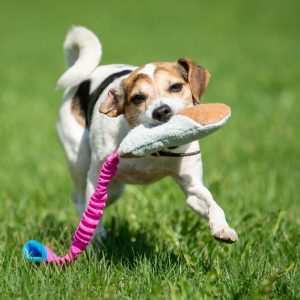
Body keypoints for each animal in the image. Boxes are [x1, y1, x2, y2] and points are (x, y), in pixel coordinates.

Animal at [56, 26, 238, 244]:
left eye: (176, 87)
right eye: (138, 97)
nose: (161, 111)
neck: (154, 151)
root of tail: (85, 77)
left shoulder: (193, 187)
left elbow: (212, 204)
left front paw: (223, 229)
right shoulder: (95, 175)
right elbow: (93, 215)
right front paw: (94, 241)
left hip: (115, 189)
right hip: (79, 159)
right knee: (79, 198)